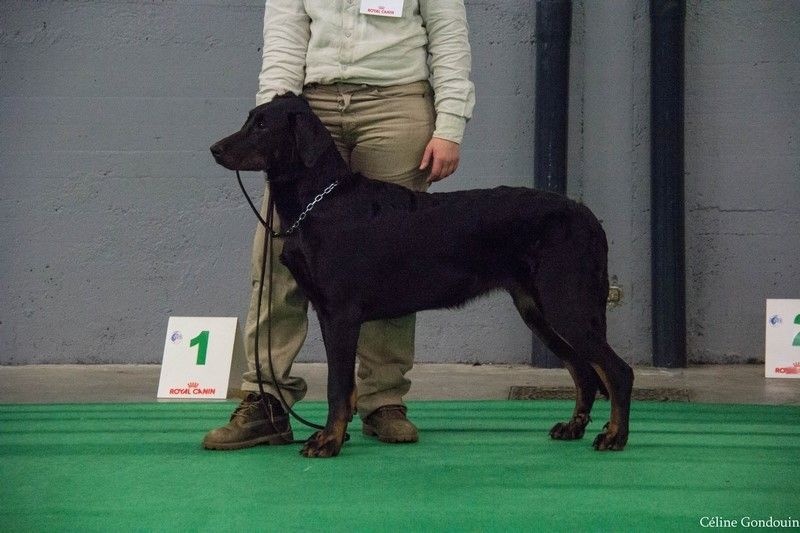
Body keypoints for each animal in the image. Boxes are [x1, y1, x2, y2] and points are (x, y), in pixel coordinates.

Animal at [209, 93, 636, 456]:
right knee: (584, 371)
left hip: (567, 304)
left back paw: (614, 436)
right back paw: (573, 427)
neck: (320, 202)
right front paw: (336, 435)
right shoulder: (329, 314)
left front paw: (329, 441)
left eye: (263, 126)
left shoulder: (341, 314)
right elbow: (346, 388)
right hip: (539, 311)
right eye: (250, 119)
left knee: (617, 371)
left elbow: (337, 387)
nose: (215, 149)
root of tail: (587, 216)